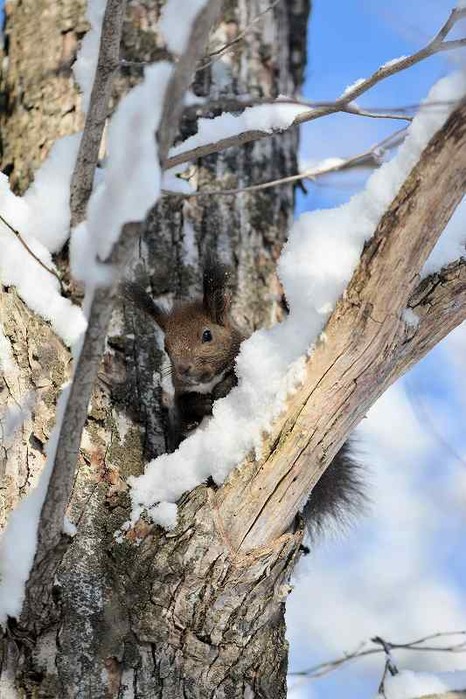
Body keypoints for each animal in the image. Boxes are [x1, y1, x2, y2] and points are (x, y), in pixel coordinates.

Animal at [121, 260, 364, 540]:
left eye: (207, 335)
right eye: (166, 347)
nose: (183, 368)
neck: (208, 382)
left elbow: (233, 383)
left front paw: (220, 391)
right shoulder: (182, 397)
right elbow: (184, 412)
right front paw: (199, 409)